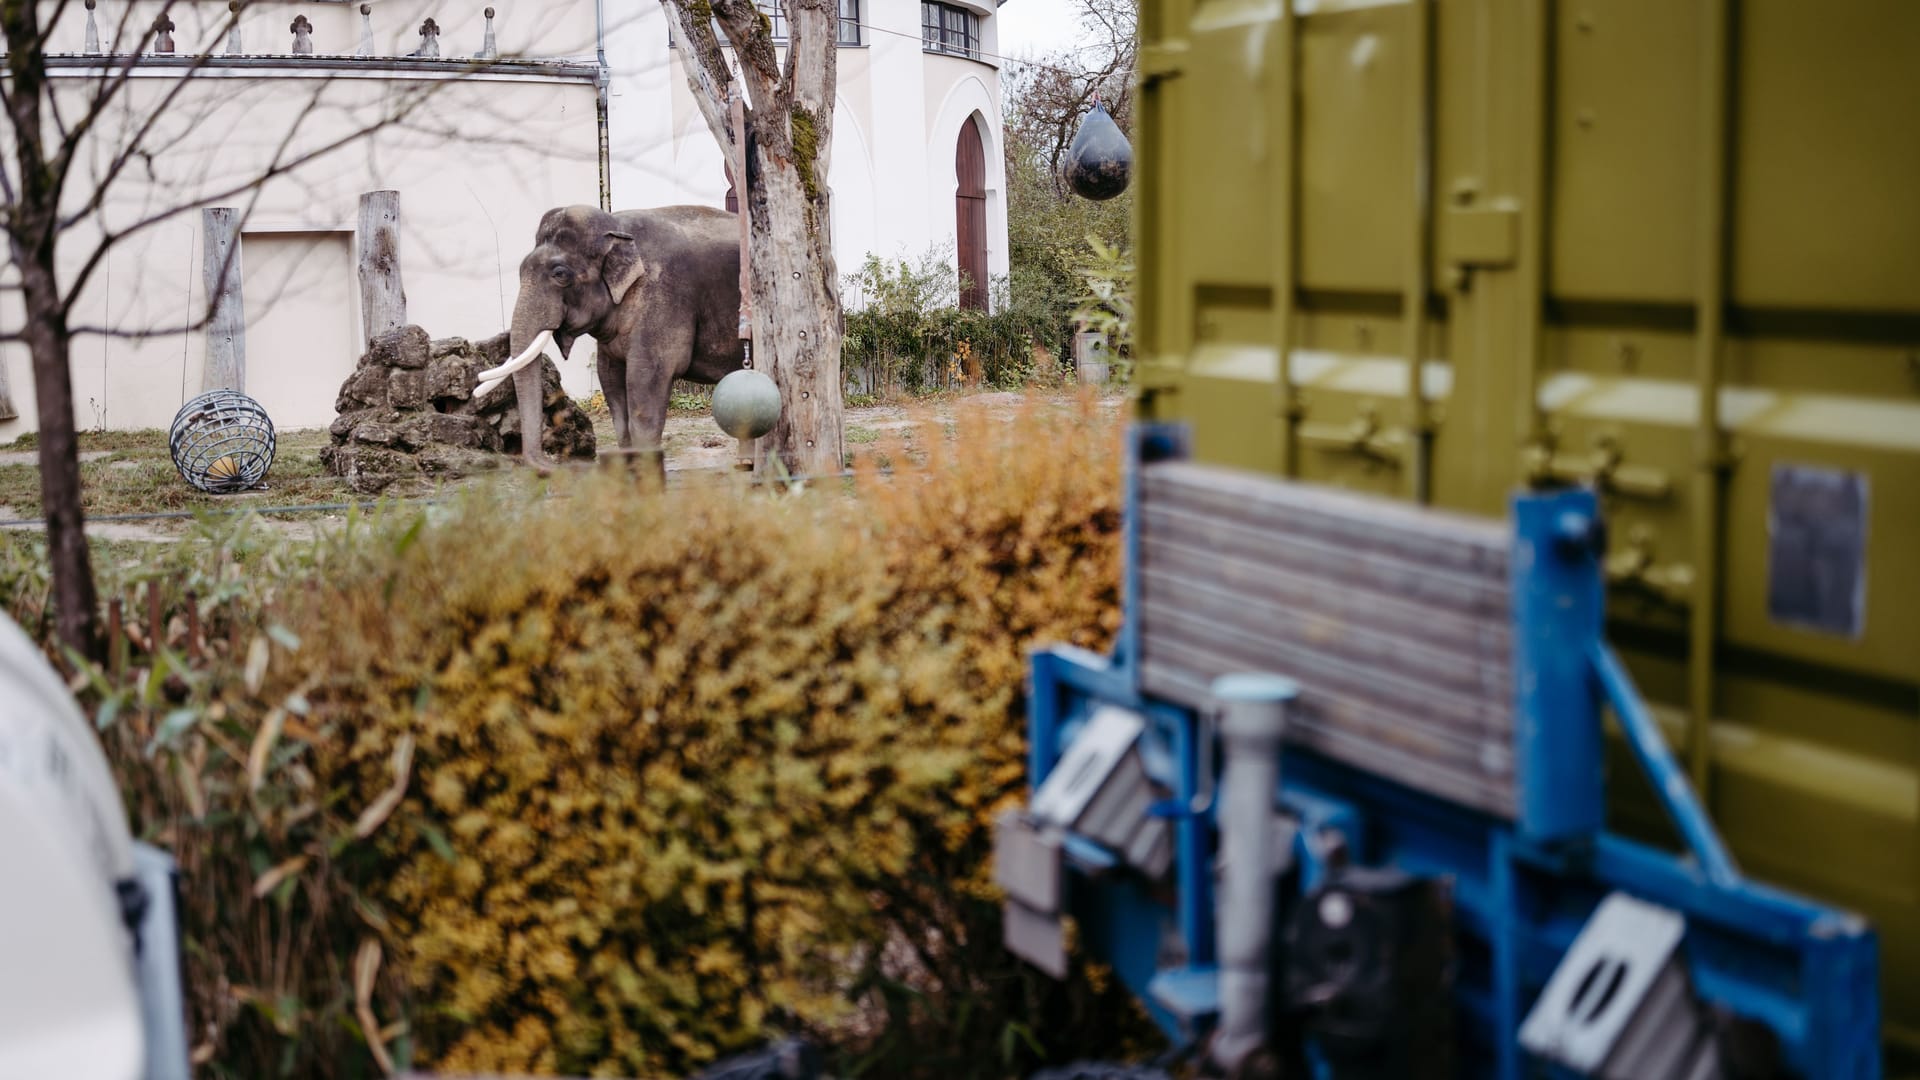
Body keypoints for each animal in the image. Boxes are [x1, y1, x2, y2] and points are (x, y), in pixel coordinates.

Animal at [487, 203, 741, 468]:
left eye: (560, 274)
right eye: (520, 270)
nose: (554, 463)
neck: (617, 227)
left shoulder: (663, 300)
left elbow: (646, 380)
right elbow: (610, 380)